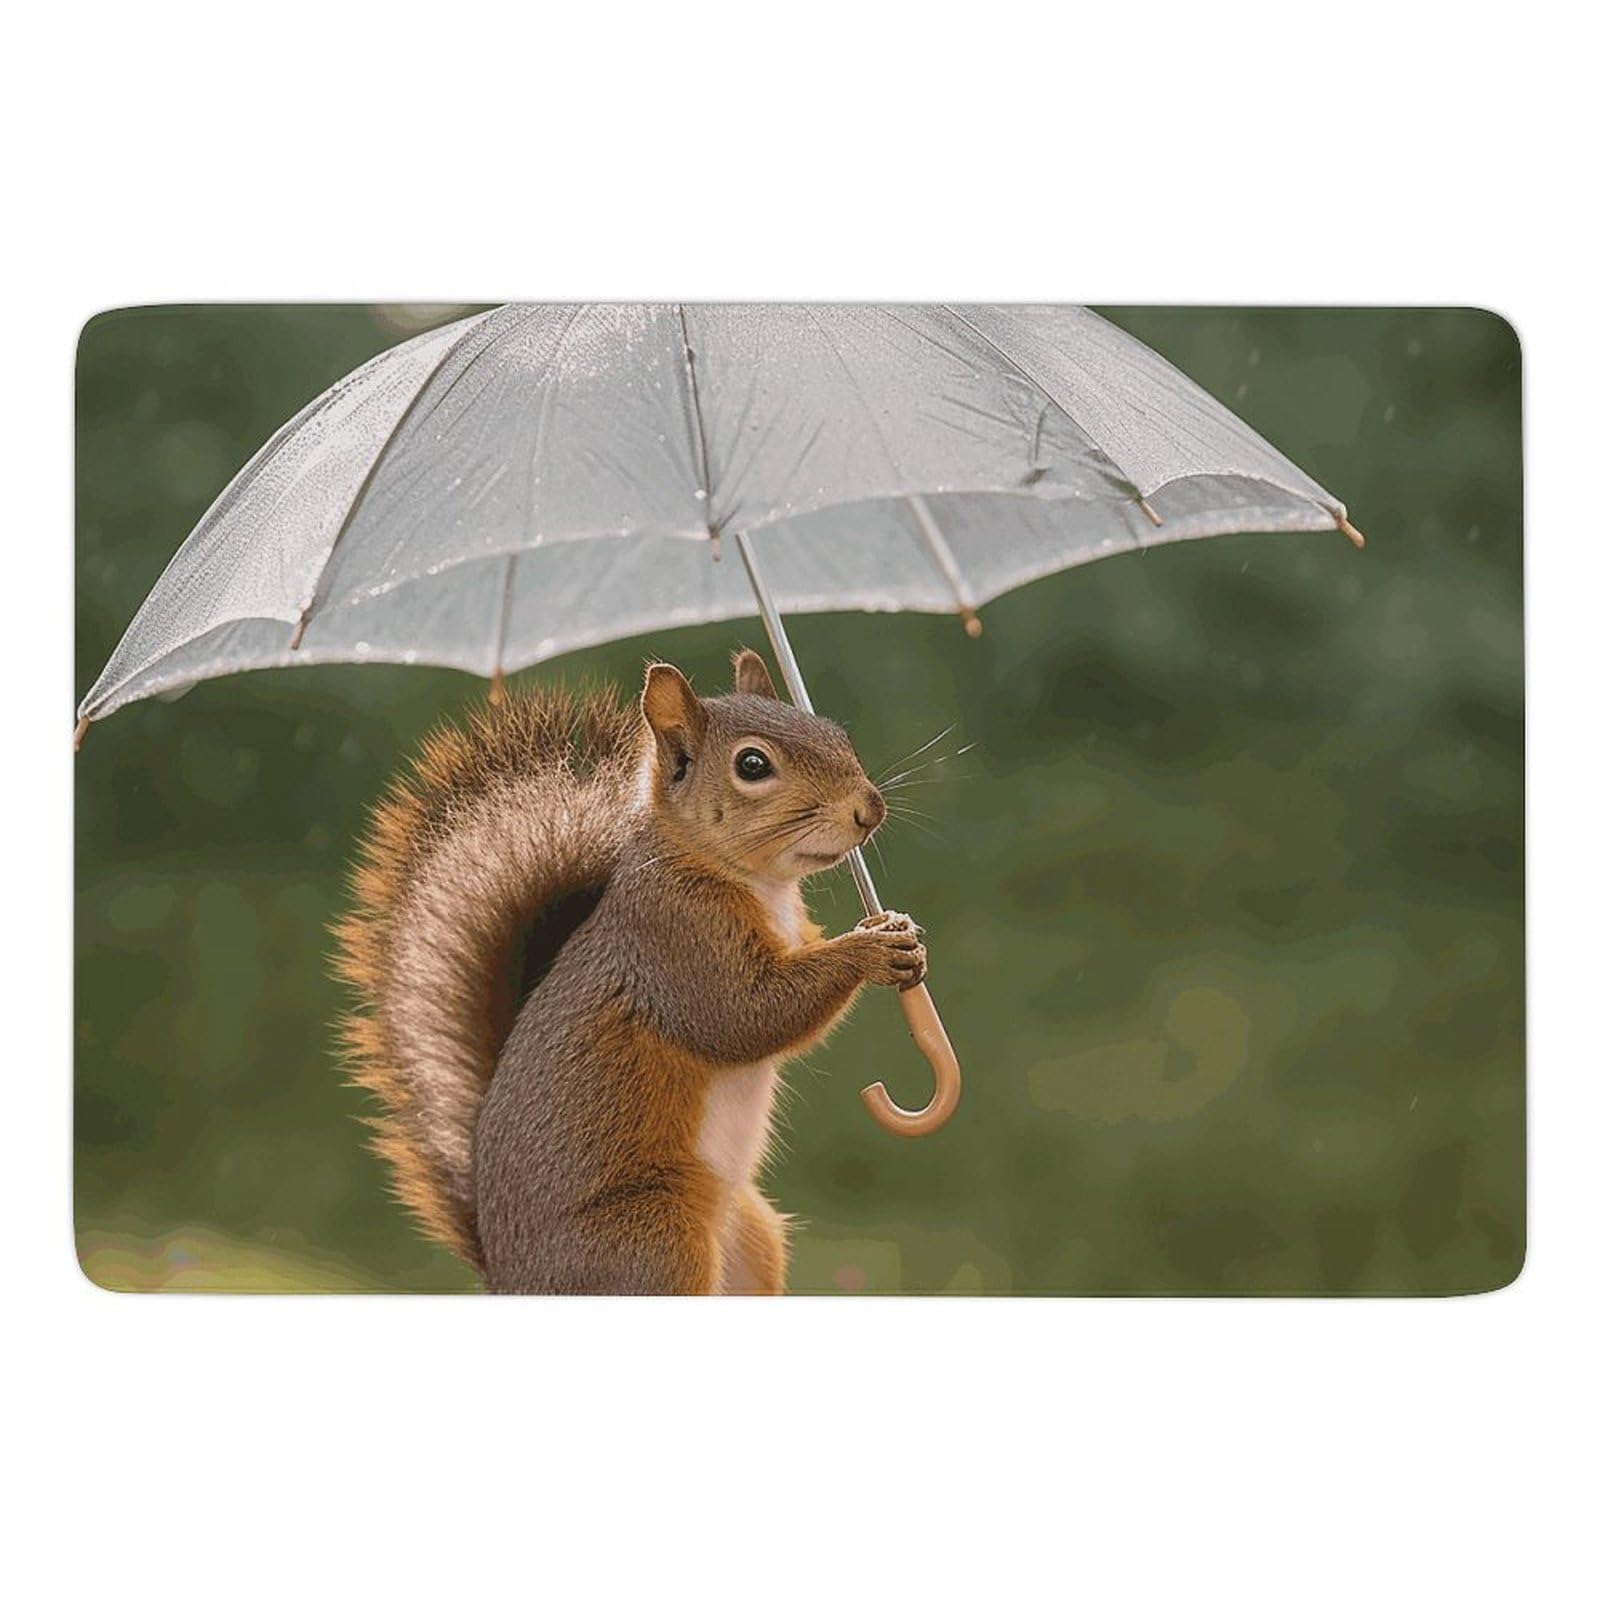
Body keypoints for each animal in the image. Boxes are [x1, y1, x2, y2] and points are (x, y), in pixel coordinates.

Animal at [332, 648, 927, 1294]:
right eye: (752, 764)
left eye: (835, 732)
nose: (869, 809)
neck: (758, 884)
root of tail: (508, 1281)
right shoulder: (674, 940)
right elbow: (746, 1015)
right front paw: (870, 949)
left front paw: (900, 931)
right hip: (655, 1239)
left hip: (752, 1235)